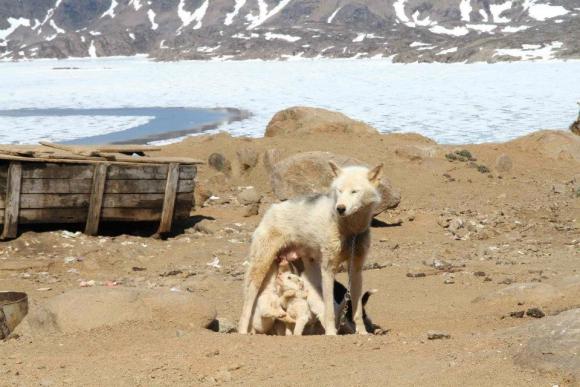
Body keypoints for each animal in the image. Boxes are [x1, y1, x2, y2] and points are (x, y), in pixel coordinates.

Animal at [238, 162, 382, 334]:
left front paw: (362, 332)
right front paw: (331, 333)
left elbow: (357, 310)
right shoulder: (328, 269)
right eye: (339, 191)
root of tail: (271, 209)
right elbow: (329, 310)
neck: (351, 231)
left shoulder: (356, 270)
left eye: (355, 191)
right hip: (261, 267)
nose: (340, 208)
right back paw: (243, 331)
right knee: (247, 304)